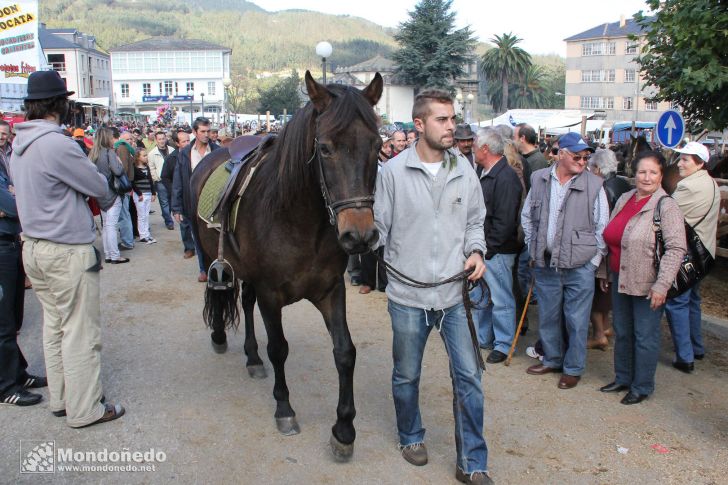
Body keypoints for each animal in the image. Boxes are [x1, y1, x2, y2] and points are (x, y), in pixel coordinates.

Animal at [191, 71, 384, 458]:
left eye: (377, 145)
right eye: (324, 148)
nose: (359, 235)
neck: (299, 220)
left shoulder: (331, 291)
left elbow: (345, 352)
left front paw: (344, 429)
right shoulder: (271, 294)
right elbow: (279, 348)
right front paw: (284, 409)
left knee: (245, 302)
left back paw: (252, 358)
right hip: (211, 255)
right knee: (218, 294)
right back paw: (220, 335)